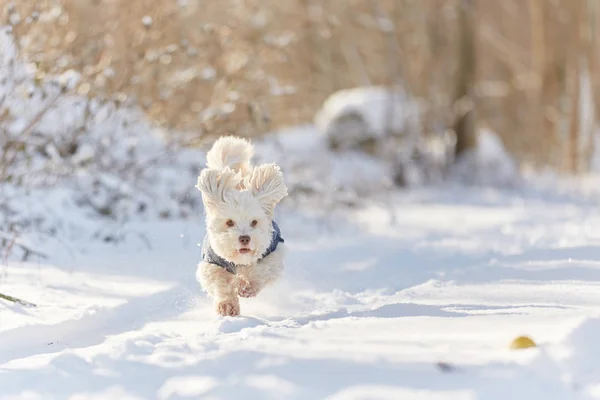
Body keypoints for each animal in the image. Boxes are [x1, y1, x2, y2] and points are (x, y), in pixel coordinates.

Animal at [196, 136, 288, 318]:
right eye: (230, 222)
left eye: (254, 222)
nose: (244, 238)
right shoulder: (210, 264)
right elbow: (220, 283)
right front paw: (226, 306)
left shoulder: (273, 254)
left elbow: (261, 270)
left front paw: (246, 286)